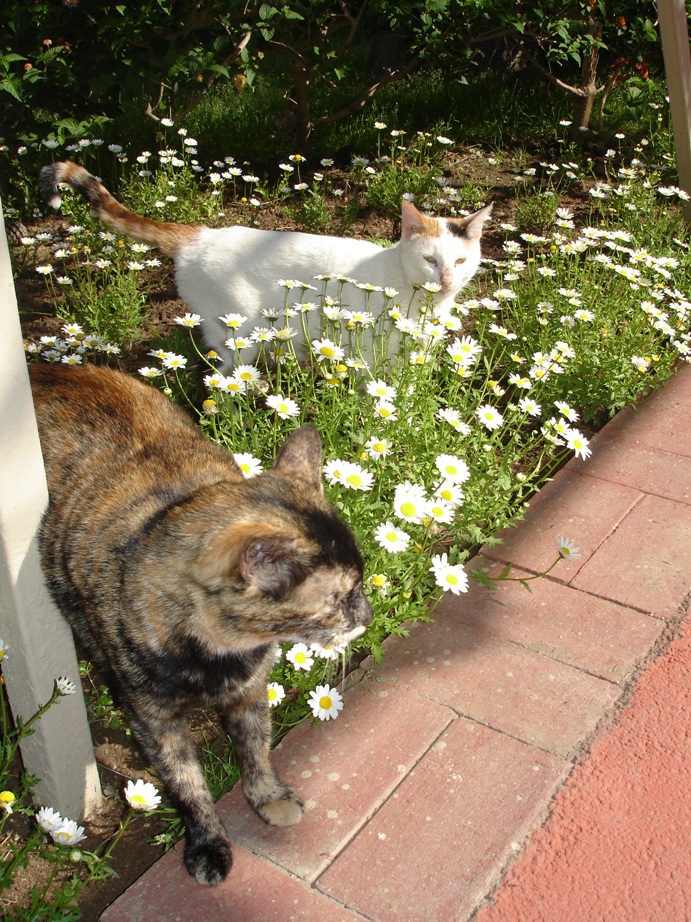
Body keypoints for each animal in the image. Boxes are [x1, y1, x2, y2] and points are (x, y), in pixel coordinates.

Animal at [30, 362, 372, 886]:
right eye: (341, 598)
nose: (368, 617)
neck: (223, 650)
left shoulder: (251, 690)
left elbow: (256, 746)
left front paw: (267, 795)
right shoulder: (153, 719)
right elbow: (186, 783)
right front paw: (208, 843)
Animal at [39, 161, 492, 369]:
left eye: (461, 261)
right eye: (430, 260)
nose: (445, 280)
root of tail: (201, 233)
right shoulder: (367, 352)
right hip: (239, 329)